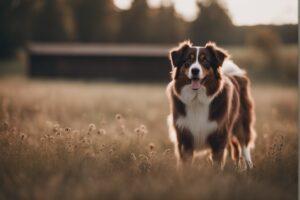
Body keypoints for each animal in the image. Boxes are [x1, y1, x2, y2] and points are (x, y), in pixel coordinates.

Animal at [166, 40, 255, 170]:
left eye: (205, 60)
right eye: (188, 60)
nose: (195, 70)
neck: (197, 98)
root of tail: (234, 75)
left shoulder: (219, 135)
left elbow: (217, 163)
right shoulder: (184, 137)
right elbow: (186, 162)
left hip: (241, 124)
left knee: (244, 145)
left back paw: (249, 166)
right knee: (235, 149)